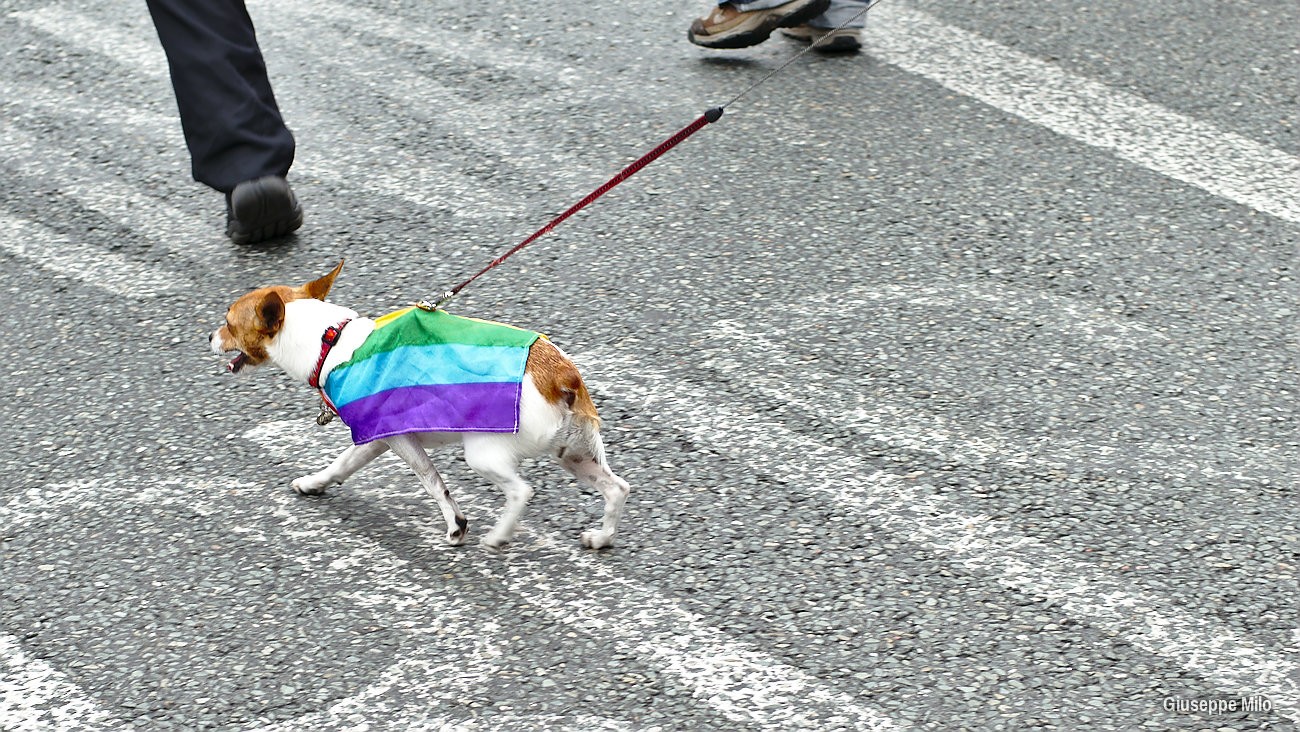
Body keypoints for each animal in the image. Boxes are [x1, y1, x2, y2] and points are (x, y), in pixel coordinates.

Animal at [208, 263, 629, 551]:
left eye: (228, 322)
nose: (209, 335)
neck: (331, 341)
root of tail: (562, 374)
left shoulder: (397, 439)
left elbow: (431, 480)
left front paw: (456, 525)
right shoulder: (378, 438)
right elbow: (342, 465)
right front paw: (315, 483)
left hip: (484, 454)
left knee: (522, 491)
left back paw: (498, 535)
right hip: (575, 454)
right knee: (617, 488)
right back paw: (602, 536)